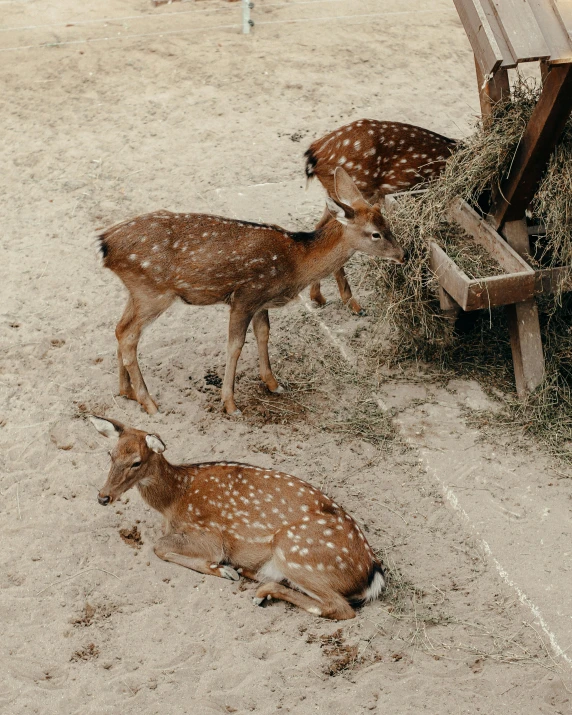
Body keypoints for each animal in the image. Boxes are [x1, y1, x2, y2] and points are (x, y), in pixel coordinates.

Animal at [91, 416, 384, 624]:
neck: (175, 499)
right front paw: (228, 570)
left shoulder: (210, 535)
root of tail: (371, 573)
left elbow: (160, 546)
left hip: (295, 552)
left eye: (136, 462)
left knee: (341, 608)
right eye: (110, 455)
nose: (103, 496)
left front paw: (222, 569)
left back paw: (261, 591)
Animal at [97, 166, 402, 416]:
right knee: (129, 335)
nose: (403, 253)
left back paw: (127, 391)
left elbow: (264, 334)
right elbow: (235, 346)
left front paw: (273, 383)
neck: (296, 262)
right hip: (153, 291)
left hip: (137, 292)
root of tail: (105, 245)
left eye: (387, 224)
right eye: (376, 233)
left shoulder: (261, 301)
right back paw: (149, 402)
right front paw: (230, 404)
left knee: (120, 329)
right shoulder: (245, 296)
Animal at [304, 119, 456, 314]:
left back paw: (318, 297)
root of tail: (315, 152)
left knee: (320, 227)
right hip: (359, 189)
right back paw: (354, 304)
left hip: (339, 194)